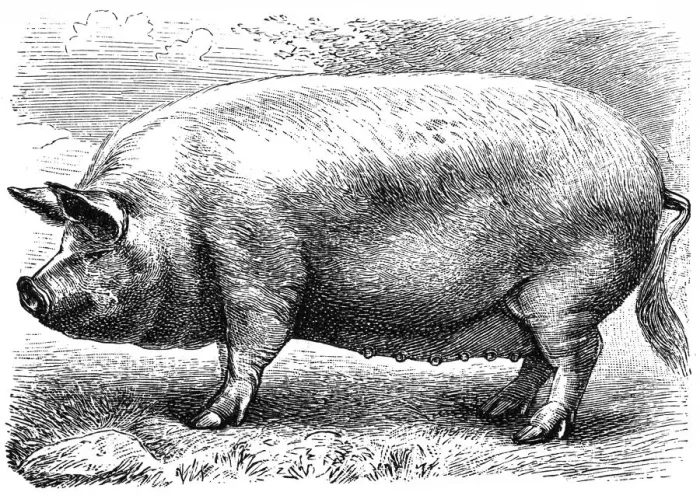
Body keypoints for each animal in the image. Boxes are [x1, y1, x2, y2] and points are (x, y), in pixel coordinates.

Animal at [9, 72, 690, 444]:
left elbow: (250, 350)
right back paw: (491, 409)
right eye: (64, 238)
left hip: (562, 291)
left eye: (100, 237)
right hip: (519, 302)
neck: (179, 216)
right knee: (539, 357)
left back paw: (530, 433)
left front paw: (205, 421)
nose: (26, 286)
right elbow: (231, 352)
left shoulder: (260, 276)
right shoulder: (237, 290)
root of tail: (652, 176)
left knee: (580, 352)